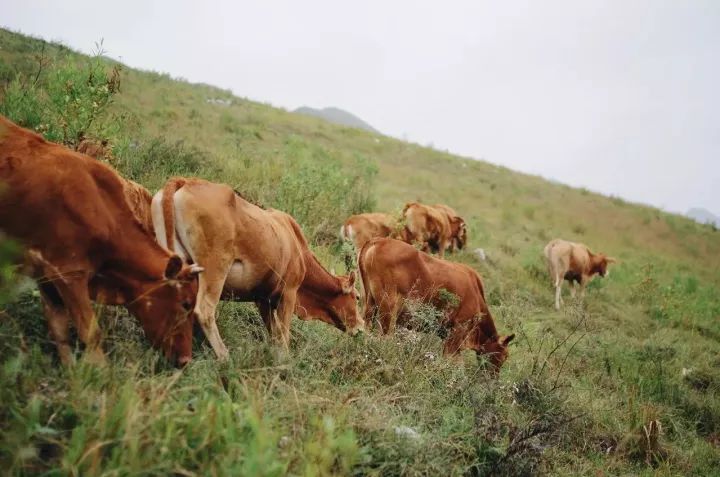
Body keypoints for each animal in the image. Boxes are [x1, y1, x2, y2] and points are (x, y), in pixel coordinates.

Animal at [0, 114, 202, 364]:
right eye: (186, 304)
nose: (185, 359)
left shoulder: (46, 276)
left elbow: (60, 332)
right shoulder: (68, 274)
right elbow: (91, 334)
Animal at [154, 177, 362, 358]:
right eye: (357, 297)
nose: (361, 326)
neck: (297, 247)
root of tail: (186, 181)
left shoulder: (263, 300)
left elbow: (274, 335)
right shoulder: (289, 293)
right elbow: (283, 336)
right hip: (214, 268)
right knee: (204, 310)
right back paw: (225, 357)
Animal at [358, 238, 512, 372]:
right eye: (503, 356)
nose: (493, 377)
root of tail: (379, 240)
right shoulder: (457, 332)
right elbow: (452, 362)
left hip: (370, 304)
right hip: (388, 309)